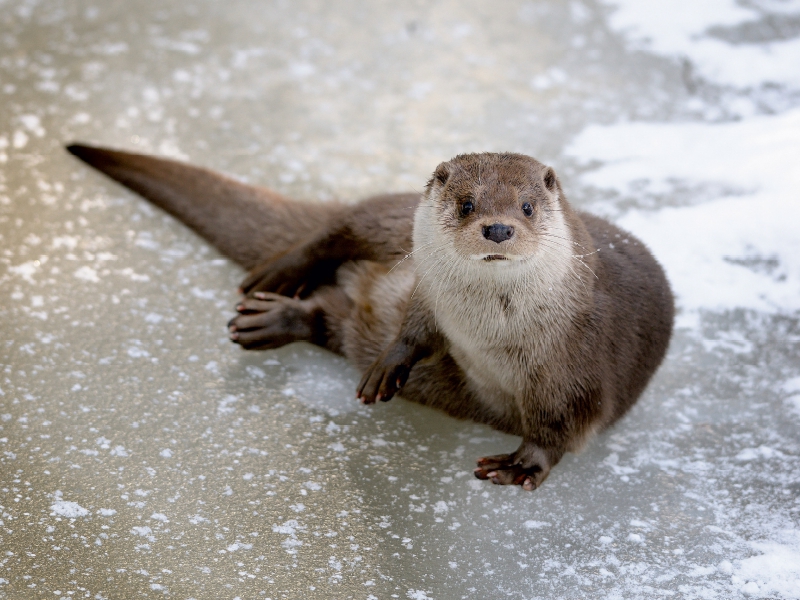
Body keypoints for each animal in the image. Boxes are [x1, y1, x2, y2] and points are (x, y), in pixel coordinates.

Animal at [65, 145, 672, 492]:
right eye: (467, 204)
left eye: (526, 207)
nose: (498, 229)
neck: (489, 324)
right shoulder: (428, 293)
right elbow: (416, 330)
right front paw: (390, 364)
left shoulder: (576, 360)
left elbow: (565, 423)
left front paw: (524, 466)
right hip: (392, 219)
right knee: (341, 226)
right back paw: (279, 276)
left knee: (336, 316)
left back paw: (276, 320)